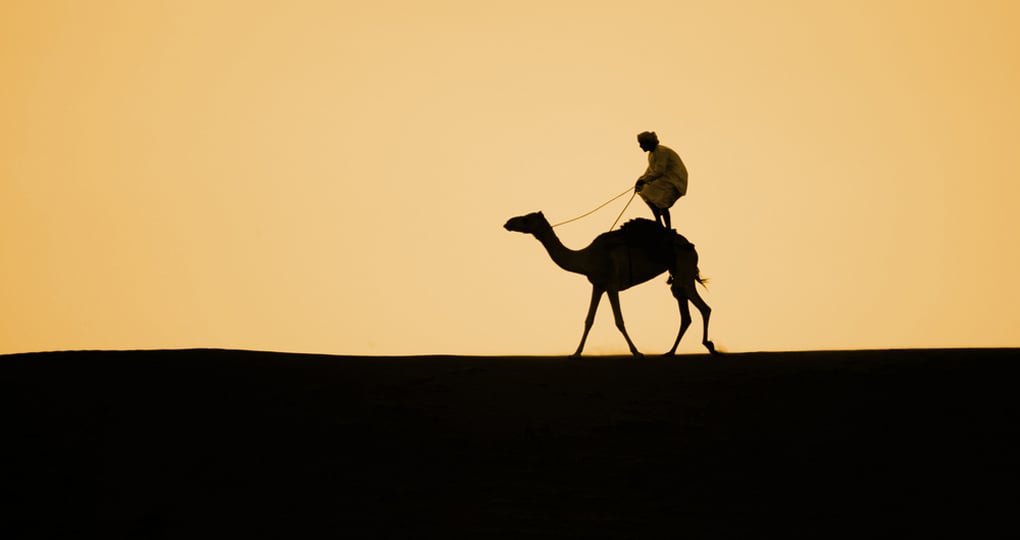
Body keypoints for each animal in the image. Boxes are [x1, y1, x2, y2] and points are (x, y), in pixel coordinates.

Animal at [504, 211, 716, 357]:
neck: (586, 258)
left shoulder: (612, 286)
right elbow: (589, 320)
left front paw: (637, 352)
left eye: (526, 219)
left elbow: (619, 321)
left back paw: (709, 346)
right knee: (685, 312)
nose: (508, 222)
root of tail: (690, 246)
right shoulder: (598, 286)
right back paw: (671, 352)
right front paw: (576, 353)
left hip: (684, 270)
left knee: (703, 307)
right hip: (679, 275)